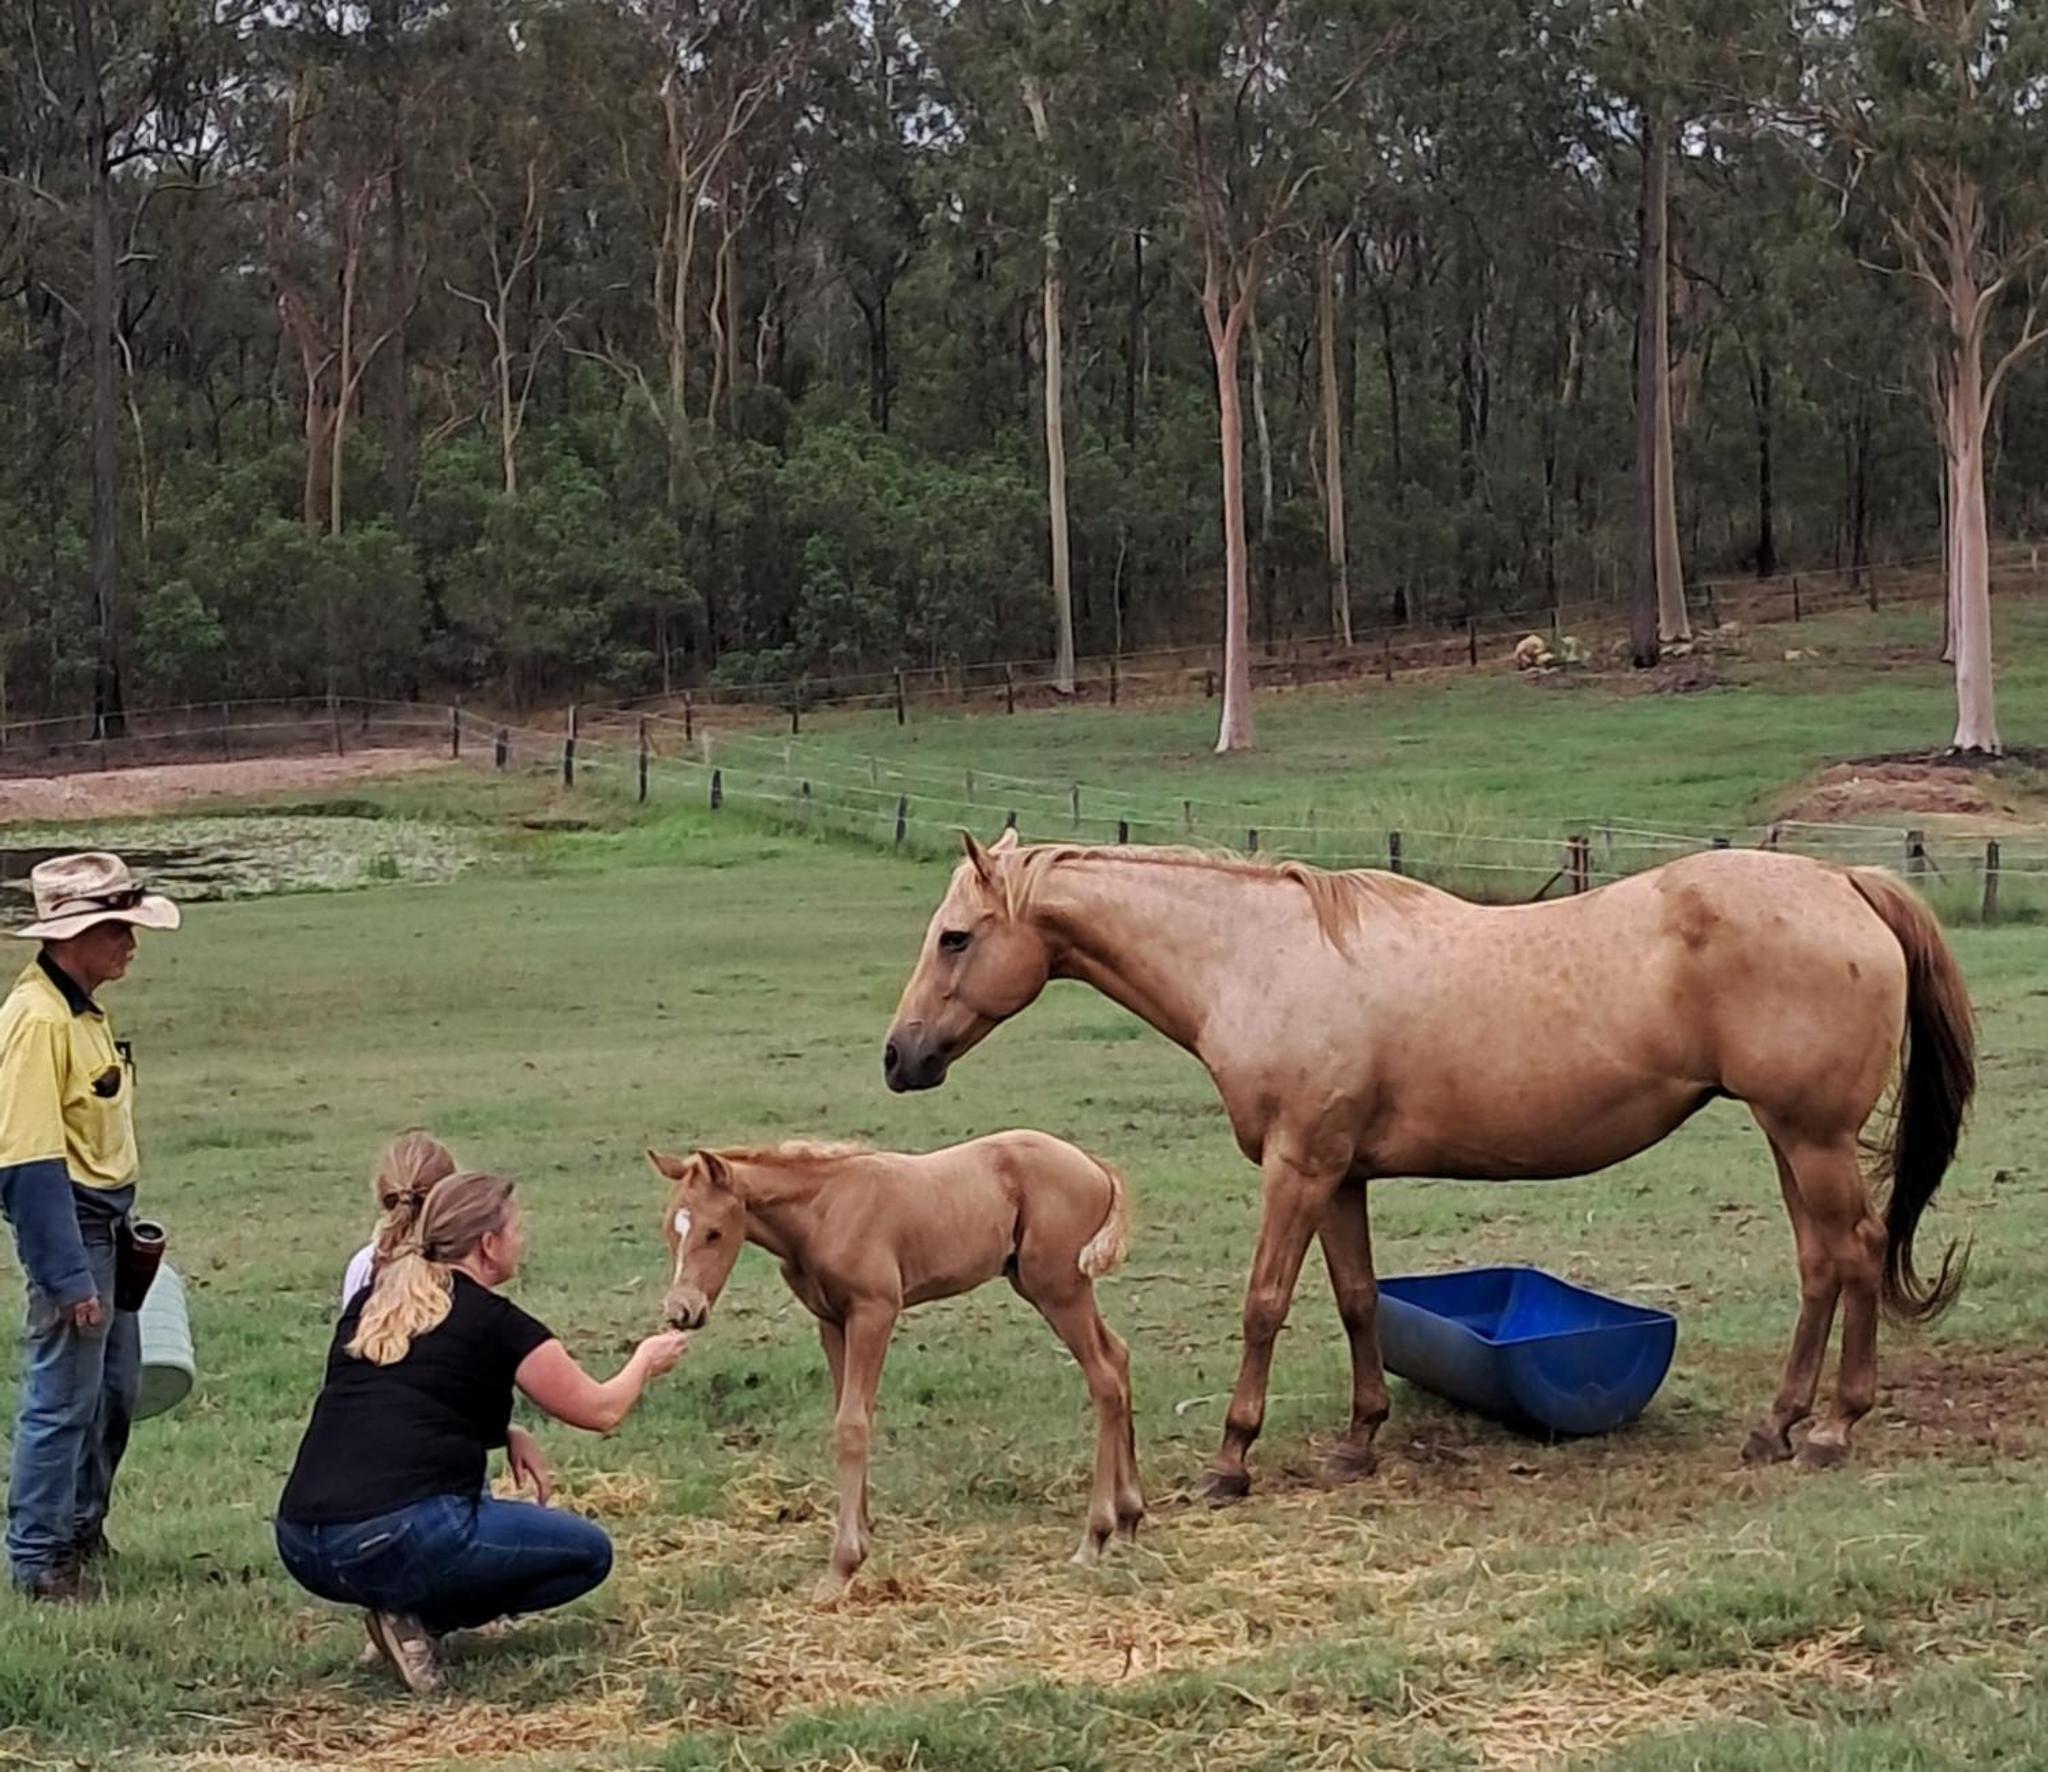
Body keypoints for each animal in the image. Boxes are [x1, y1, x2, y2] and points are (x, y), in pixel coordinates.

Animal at [651, 1133, 1143, 1598]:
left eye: (714, 1232)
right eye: (670, 1230)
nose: (681, 1311)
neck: (824, 1210)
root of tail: (1093, 1165)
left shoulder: (874, 1312)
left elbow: (851, 1425)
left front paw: (842, 1566)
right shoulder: (831, 1322)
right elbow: (853, 1416)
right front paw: (863, 1538)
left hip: (1058, 1287)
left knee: (1103, 1378)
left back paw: (1094, 1537)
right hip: (1042, 1284)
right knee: (1118, 1357)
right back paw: (1129, 1517)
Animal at [882, 830, 1975, 1498]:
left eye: (955, 937)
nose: (899, 1058)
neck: (1261, 959)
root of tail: (1844, 881)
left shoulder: (1296, 1167)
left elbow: (1264, 1303)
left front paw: (1232, 1459)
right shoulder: (1339, 1175)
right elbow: (1358, 1299)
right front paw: (1358, 1440)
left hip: (1811, 1137)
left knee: (1855, 1251)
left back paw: (1832, 1428)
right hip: (1789, 1136)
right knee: (1820, 1263)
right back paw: (1776, 1423)